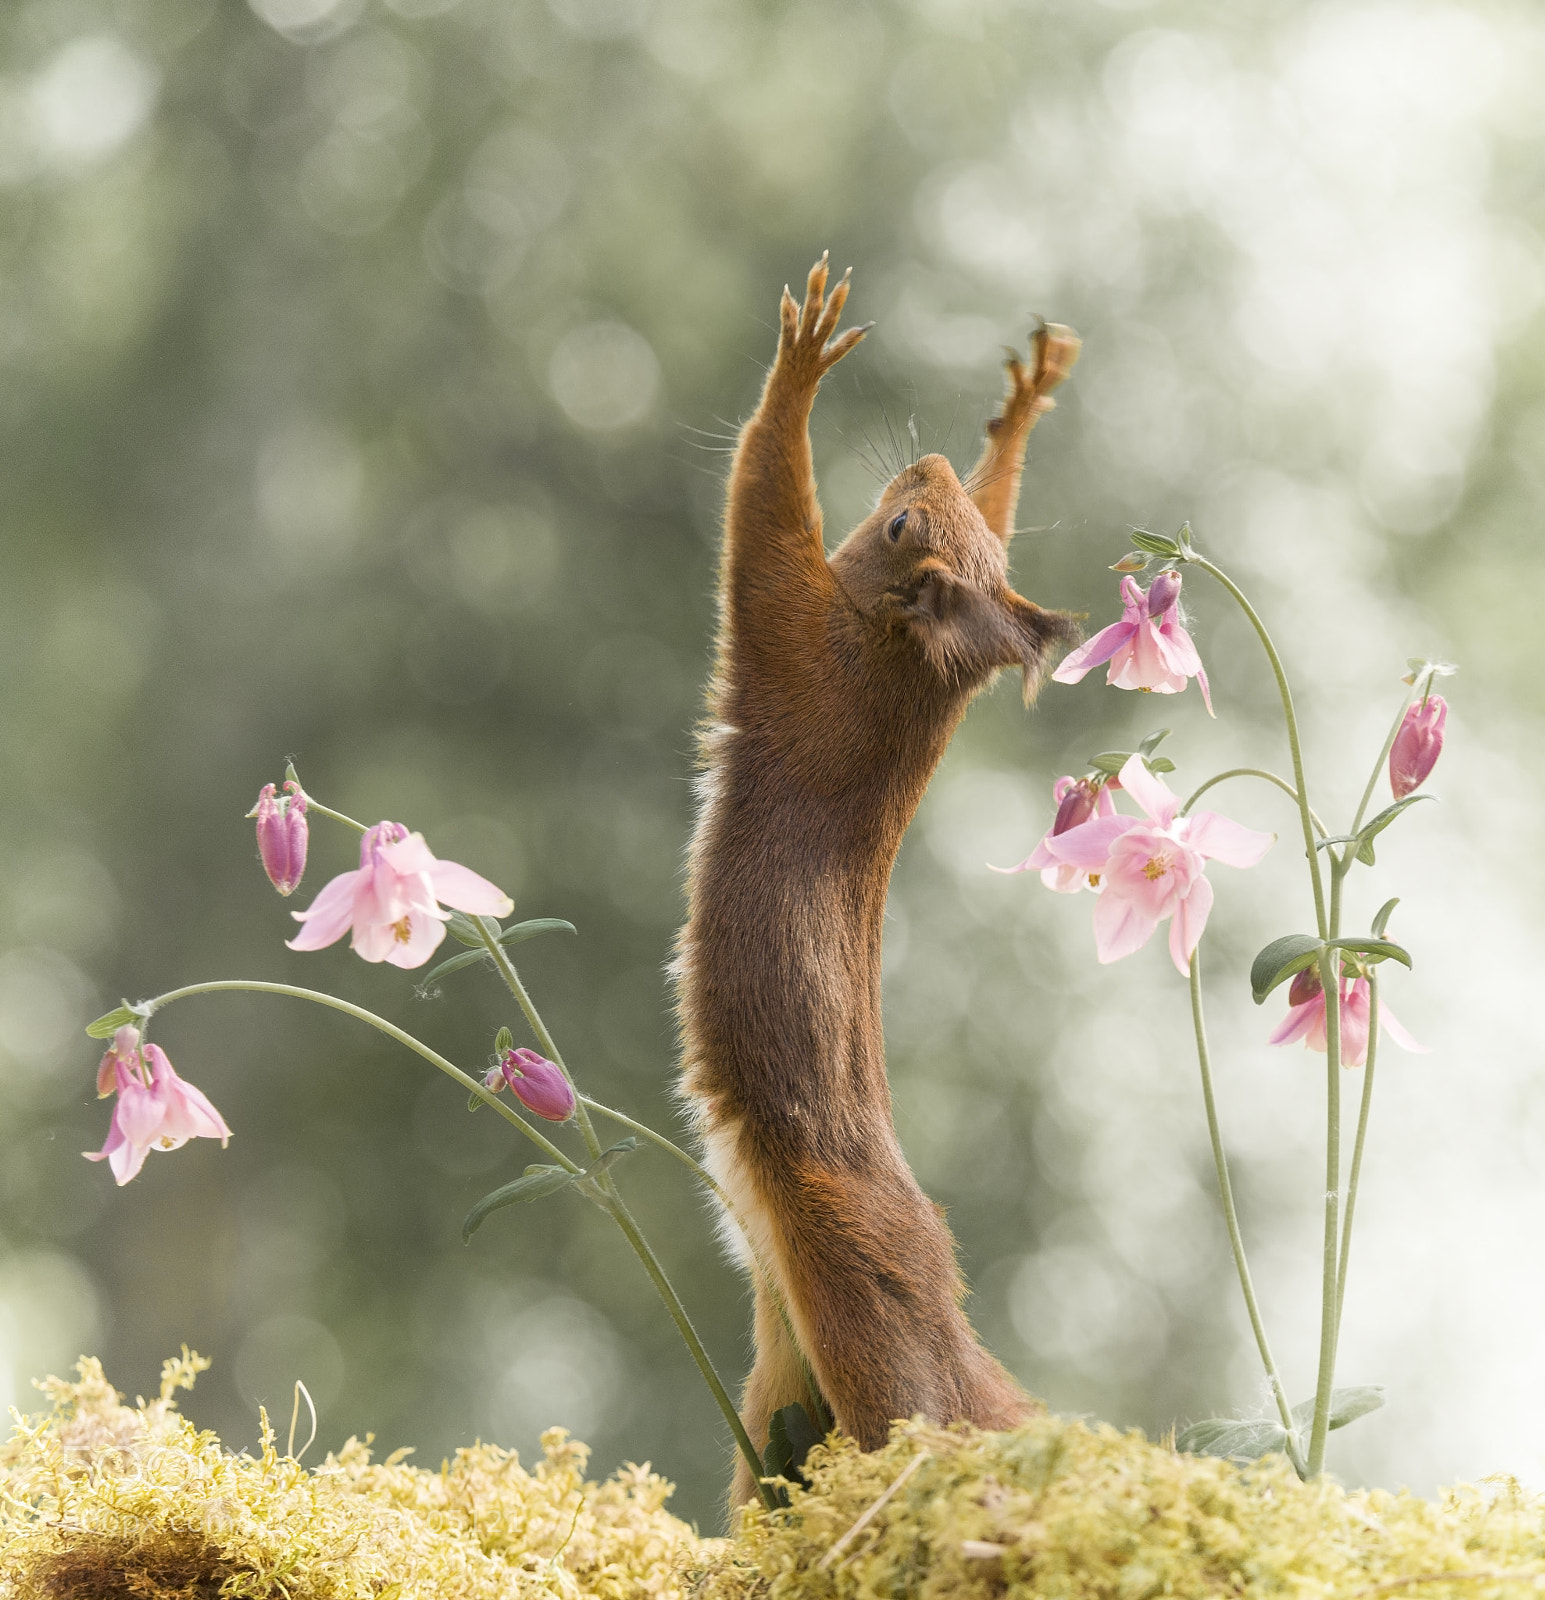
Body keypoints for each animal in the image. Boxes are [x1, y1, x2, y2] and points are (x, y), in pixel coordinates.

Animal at [674, 255, 1081, 1506]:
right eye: (935, 509)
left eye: (903, 524)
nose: (932, 459)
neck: (911, 671)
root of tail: (940, 1283)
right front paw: (1024, 405)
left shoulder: (791, 634)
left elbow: (760, 491)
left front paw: (800, 364)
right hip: (781, 1386)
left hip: (857, 1305)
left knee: (920, 1424)